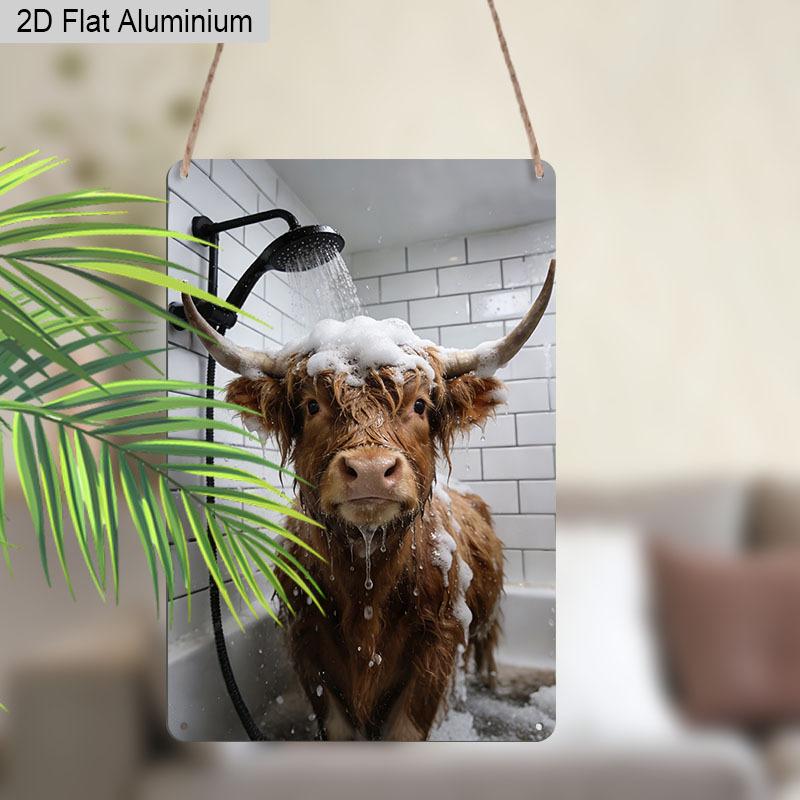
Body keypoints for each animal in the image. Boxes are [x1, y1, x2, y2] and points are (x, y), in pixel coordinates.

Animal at [182, 259, 554, 740]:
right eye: (311, 406)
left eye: (420, 405)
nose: (372, 469)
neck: (366, 584)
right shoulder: (307, 642)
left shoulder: (438, 642)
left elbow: (407, 729)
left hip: (484, 619)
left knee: (486, 650)